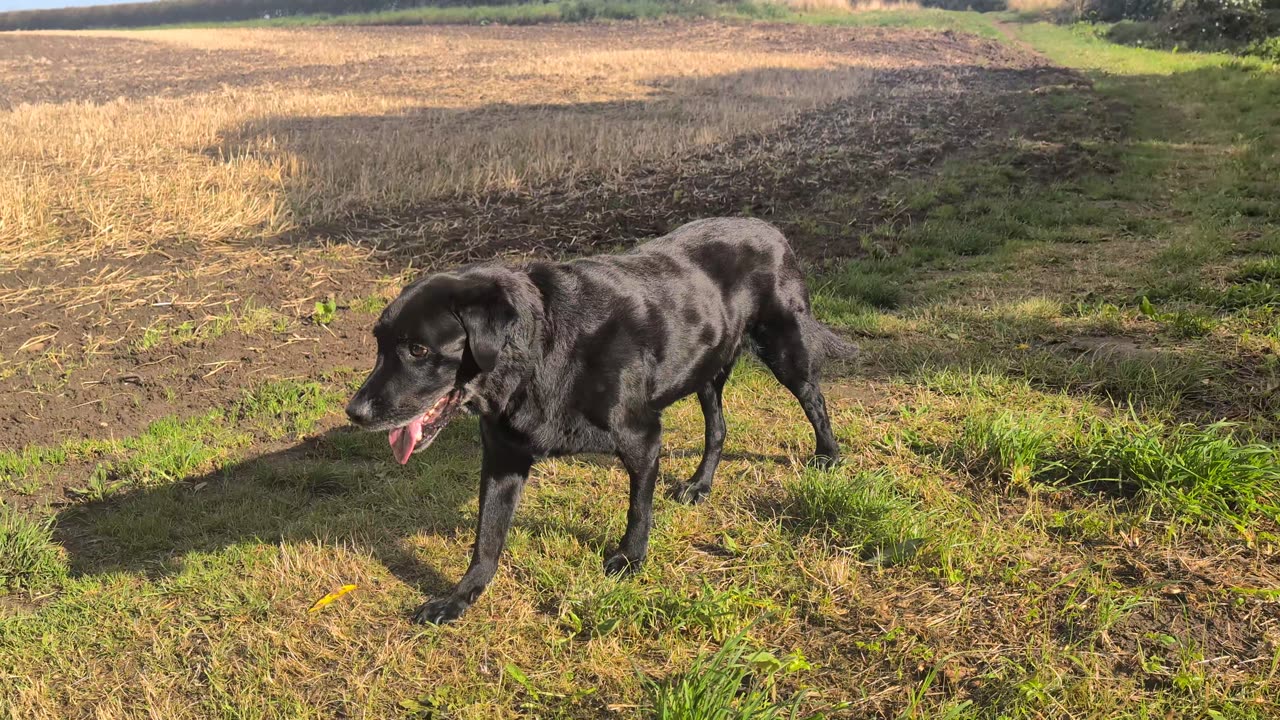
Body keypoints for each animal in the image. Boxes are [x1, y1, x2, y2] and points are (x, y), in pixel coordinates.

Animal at [345, 215, 855, 620]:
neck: (543, 350)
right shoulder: (503, 460)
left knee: (815, 401)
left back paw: (828, 456)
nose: (354, 412)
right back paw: (699, 485)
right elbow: (486, 538)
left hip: (784, 348)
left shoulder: (643, 437)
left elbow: (638, 510)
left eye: (418, 349)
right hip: (706, 370)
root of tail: (769, 227)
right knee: (718, 428)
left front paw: (629, 560)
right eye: (379, 344)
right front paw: (459, 598)